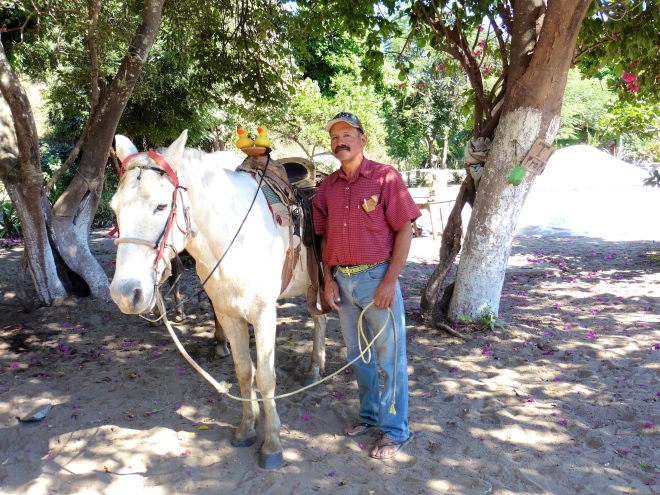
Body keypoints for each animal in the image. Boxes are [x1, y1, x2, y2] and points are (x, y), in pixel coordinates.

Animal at [109, 130, 328, 469]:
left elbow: (266, 377)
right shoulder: (228, 314)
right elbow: (244, 371)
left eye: (161, 206)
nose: (125, 293)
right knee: (319, 319)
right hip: (310, 288)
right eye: (114, 208)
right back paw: (314, 370)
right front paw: (246, 429)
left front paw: (272, 445)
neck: (234, 237)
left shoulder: (264, 315)